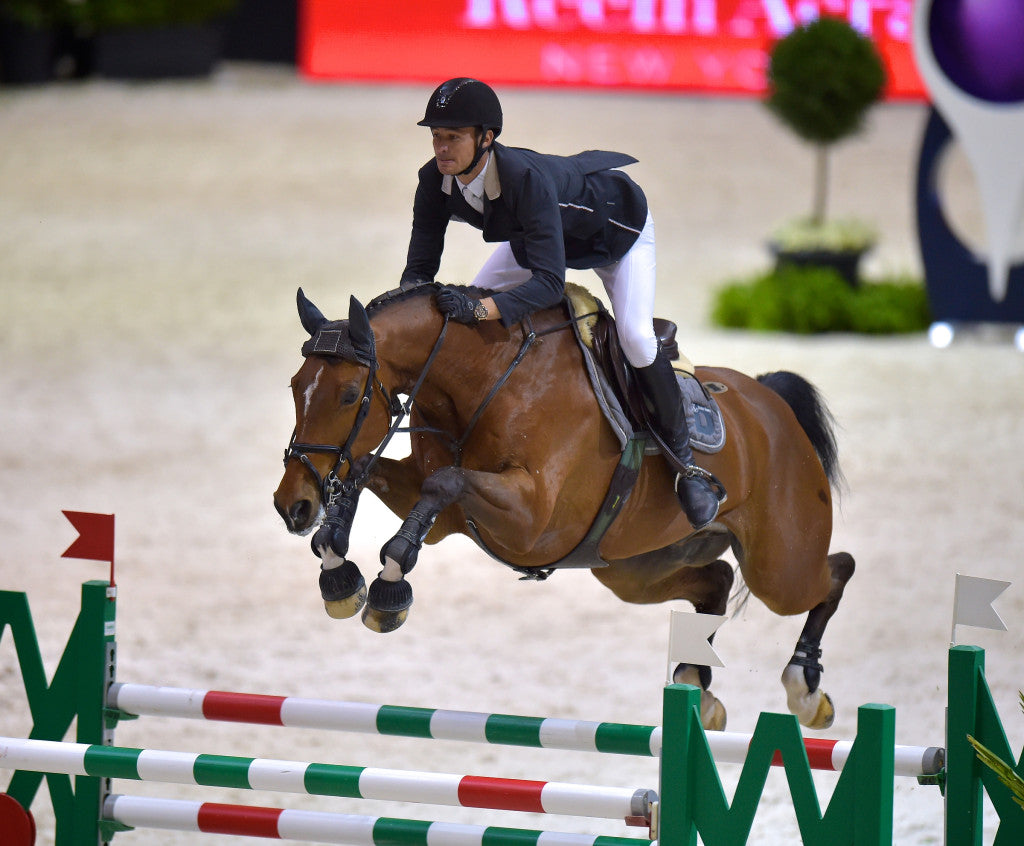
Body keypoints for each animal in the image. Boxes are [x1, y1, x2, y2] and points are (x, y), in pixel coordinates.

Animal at [274, 280, 856, 729]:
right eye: (296, 385)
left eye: (349, 395)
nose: (290, 505)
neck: (484, 379)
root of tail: (769, 399)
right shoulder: (445, 517)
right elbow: (369, 474)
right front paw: (337, 568)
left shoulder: (530, 520)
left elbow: (444, 482)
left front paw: (389, 585)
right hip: (633, 569)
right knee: (715, 579)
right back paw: (698, 686)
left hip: (778, 567)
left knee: (834, 571)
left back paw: (805, 691)